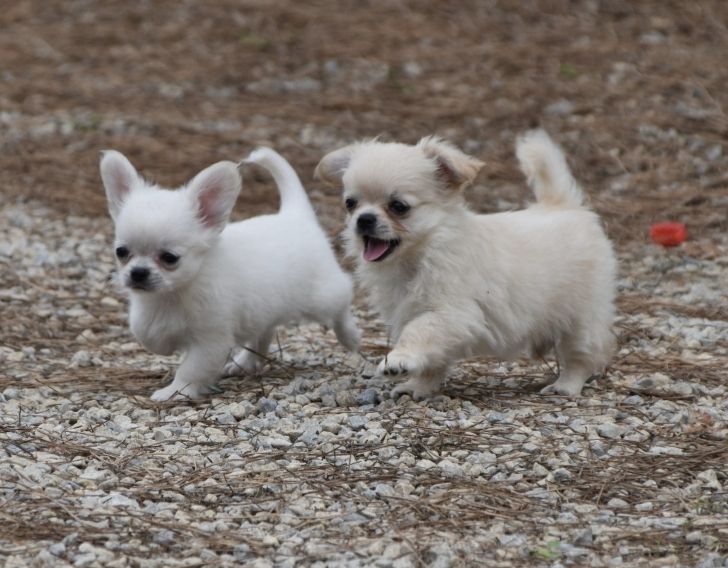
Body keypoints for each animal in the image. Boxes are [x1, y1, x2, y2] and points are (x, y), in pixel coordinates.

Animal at [100, 147, 360, 401]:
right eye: (121, 252)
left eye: (170, 258)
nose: (138, 273)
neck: (173, 294)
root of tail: (296, 215)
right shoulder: (147, 313)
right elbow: (145, 333)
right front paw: (164, 344)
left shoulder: (211, 340)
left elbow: (191, 369)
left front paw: (174, 391)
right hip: (263, 309)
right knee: (264, 333)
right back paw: (247, 361)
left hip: (322, 298)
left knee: (342, 301)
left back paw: (350, 336)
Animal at [315, 130, 616, 399]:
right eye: (350, 204)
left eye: (399, 206)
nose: (364, 219)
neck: (420, 255)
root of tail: (562, 206)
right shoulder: (410, 313)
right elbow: (432, 358)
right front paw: (419, 387)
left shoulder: (453, 314)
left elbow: (420, 331)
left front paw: (400, 359)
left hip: (581, 318)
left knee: (580, 356)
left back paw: (566, 386)